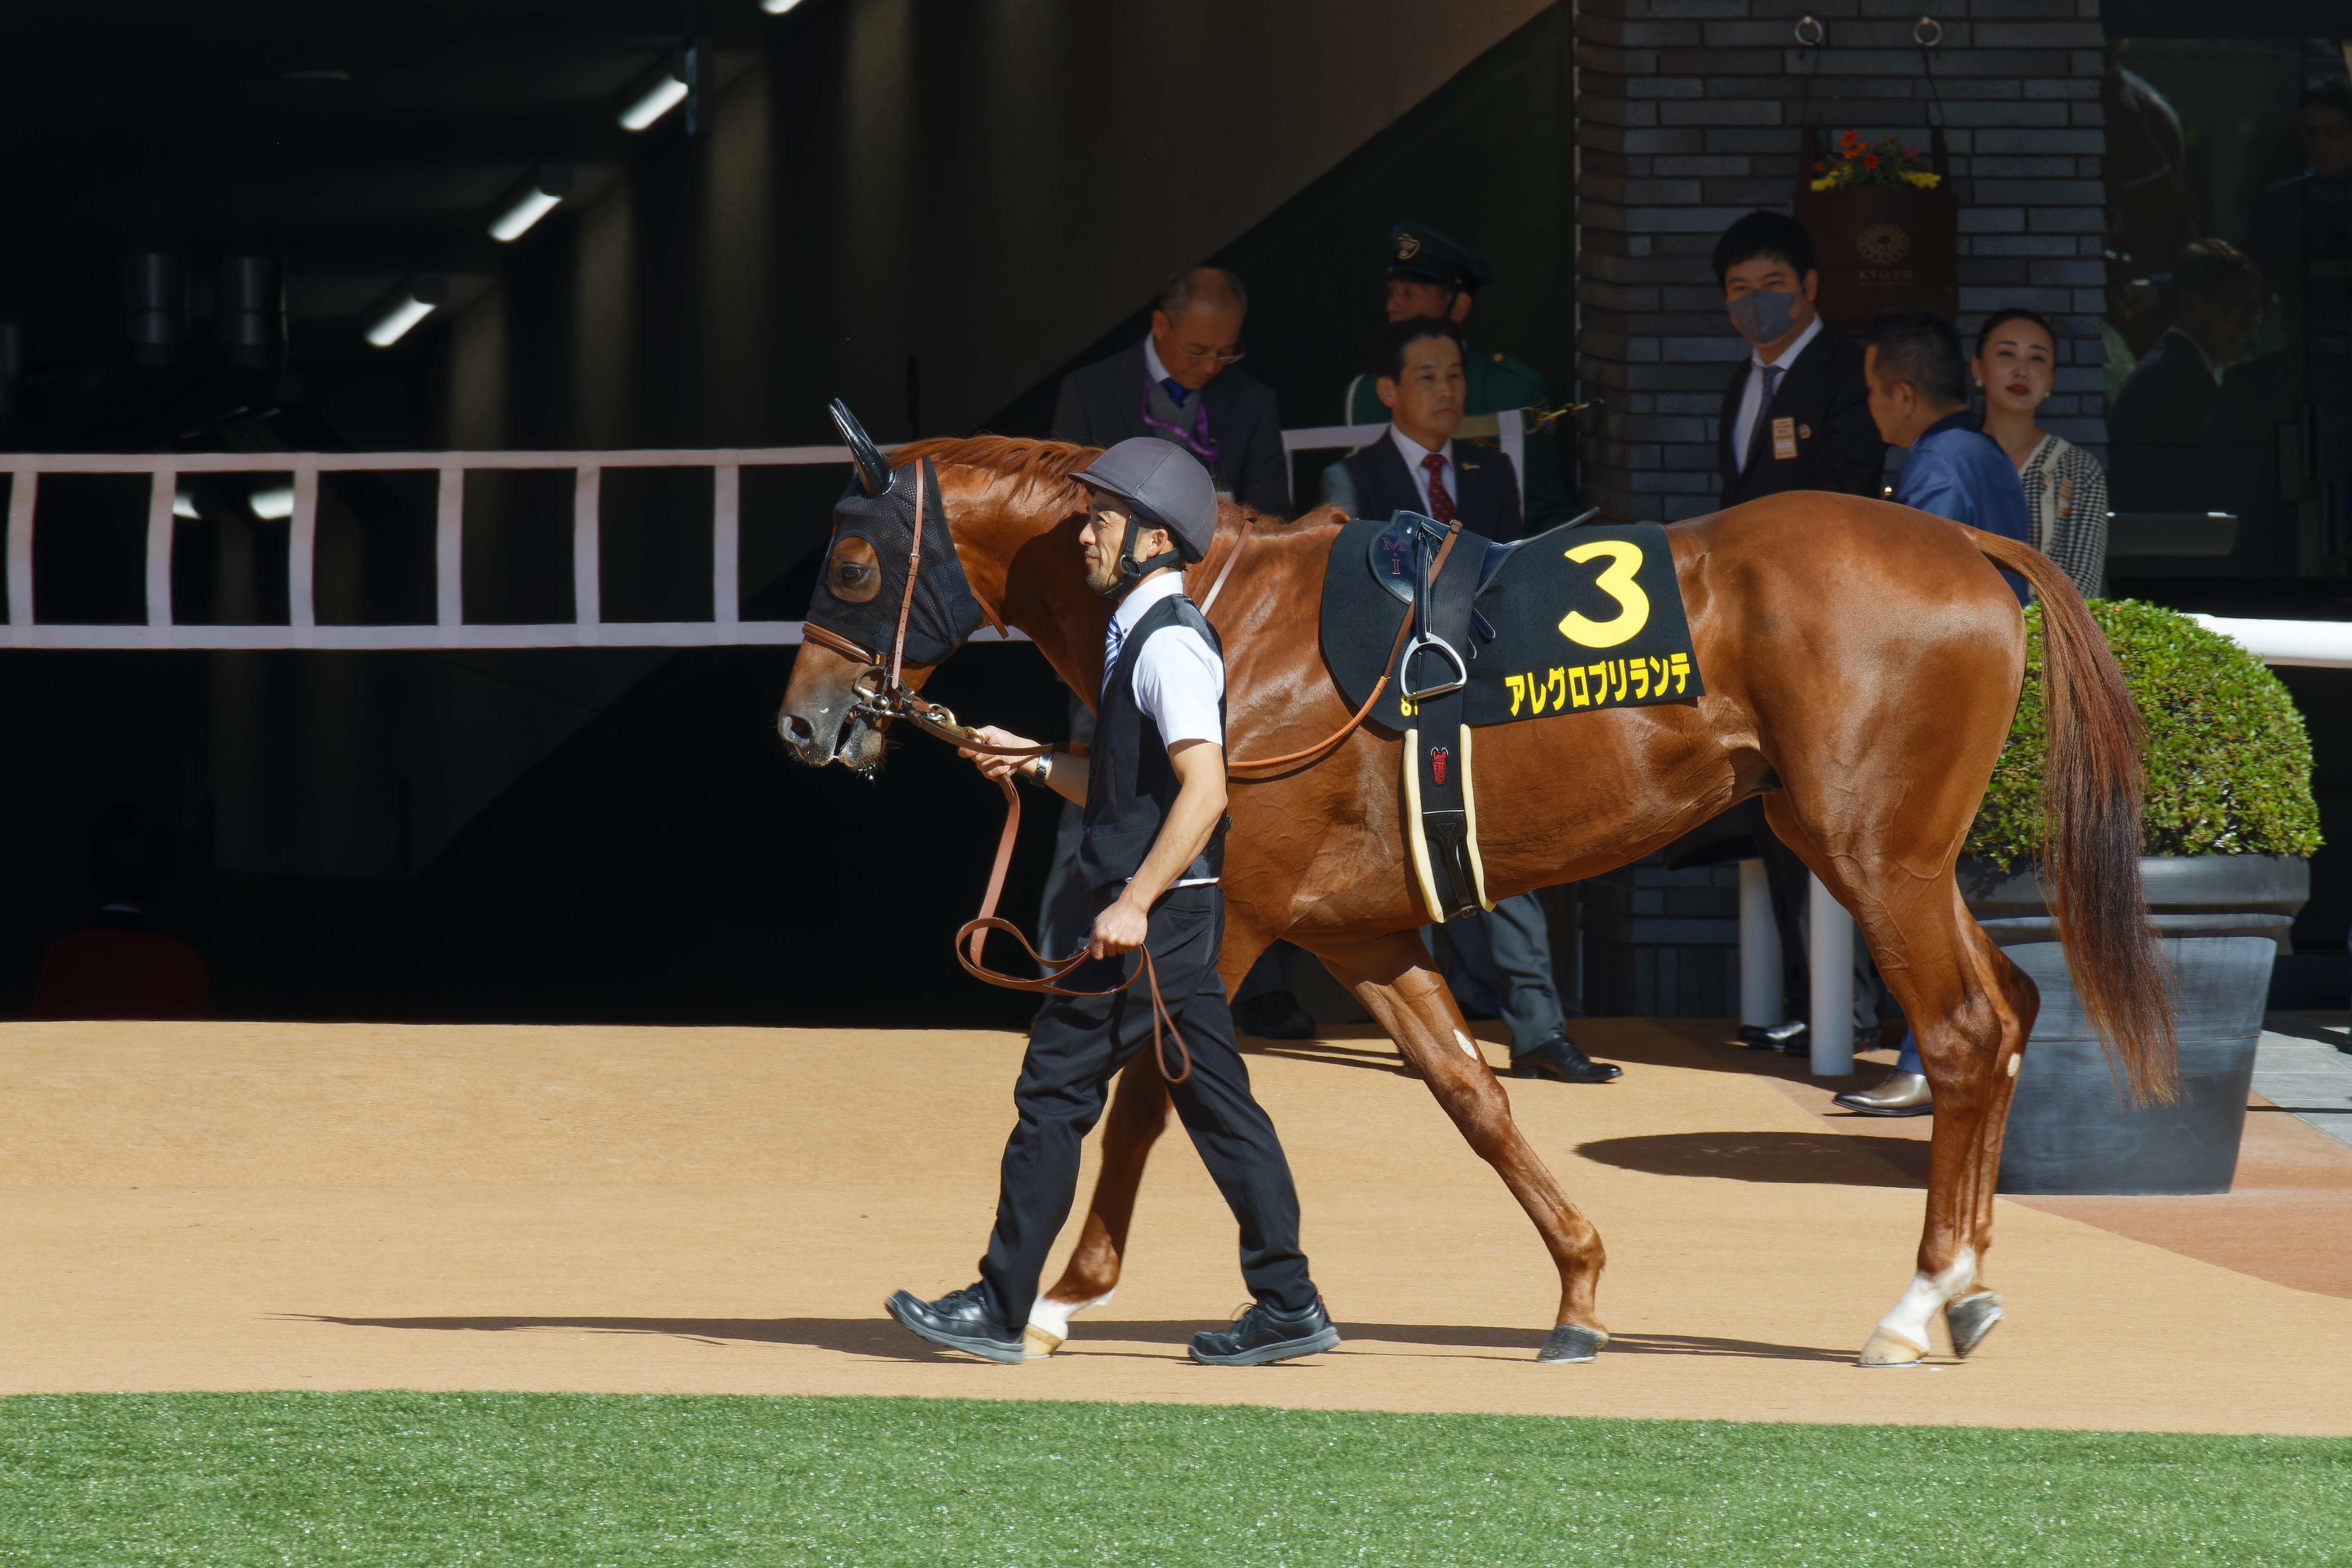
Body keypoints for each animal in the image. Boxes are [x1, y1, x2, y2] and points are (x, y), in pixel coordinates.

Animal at [775, 434, 2171, 1368]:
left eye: (851, 560)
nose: (804, 721)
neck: (1225, 617)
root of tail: (1968, 543)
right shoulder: (1361, 928)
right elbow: (1472, 1099)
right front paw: (1578, 1290)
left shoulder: (1224, 910)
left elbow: (1146, 1097)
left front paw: (1062, 1293)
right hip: (1886, 856)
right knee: (2014, 1003)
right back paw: (1969, 1287)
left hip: (1870, 855)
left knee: (1963, 1034)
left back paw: (1913, 1302)